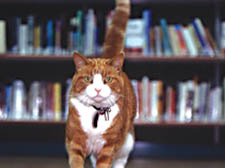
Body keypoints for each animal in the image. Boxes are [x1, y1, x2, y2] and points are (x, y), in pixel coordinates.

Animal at [65, 0, 135, 168]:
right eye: (88, 79)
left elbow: (104, 162)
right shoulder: (74, 142)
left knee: (121, 159)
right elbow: (76, 161)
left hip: (128, 142)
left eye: (108, 79)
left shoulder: (109, 147)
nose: (97, 89)